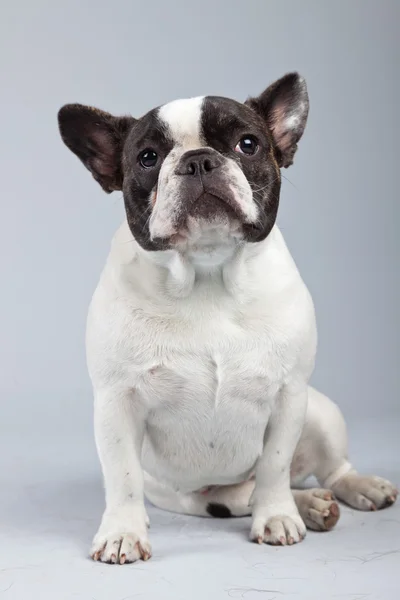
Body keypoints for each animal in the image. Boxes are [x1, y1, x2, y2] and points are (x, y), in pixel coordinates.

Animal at [57, 72, 398, 564]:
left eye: (248, 144)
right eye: (147, 157)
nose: (198, 160)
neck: (207, 274)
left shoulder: (289, 394)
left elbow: (274, 464)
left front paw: (276, 517)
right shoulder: (116, 402)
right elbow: (122, 476)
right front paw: (122, 532)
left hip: (321, 412)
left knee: (325, 469)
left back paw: (353, 489)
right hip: (195, 498)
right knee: (241, 495)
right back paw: (311, 505)